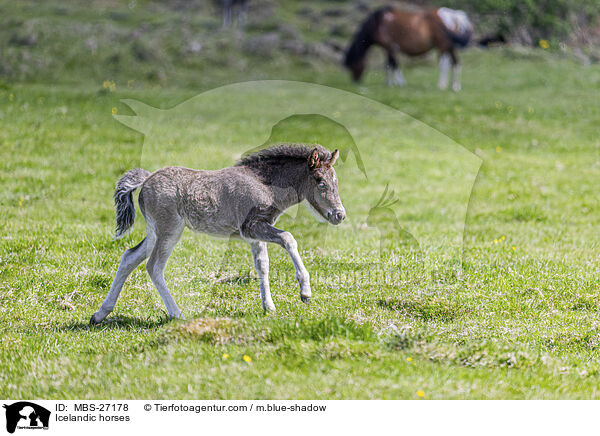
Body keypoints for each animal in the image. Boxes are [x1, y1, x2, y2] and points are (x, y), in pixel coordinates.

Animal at [344, 6, 472, 90]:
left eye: (353, 65)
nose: (355, 81)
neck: (379, 23)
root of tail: (454, 15)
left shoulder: (389, 47)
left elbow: (393, 64)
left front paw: (398, 83)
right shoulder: (388, 49)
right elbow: (388, 65)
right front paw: (388, 82)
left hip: (442, 47)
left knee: (444, 64)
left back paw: (441, 85)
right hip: (451, 47)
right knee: (456, 63)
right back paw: (455, 87)